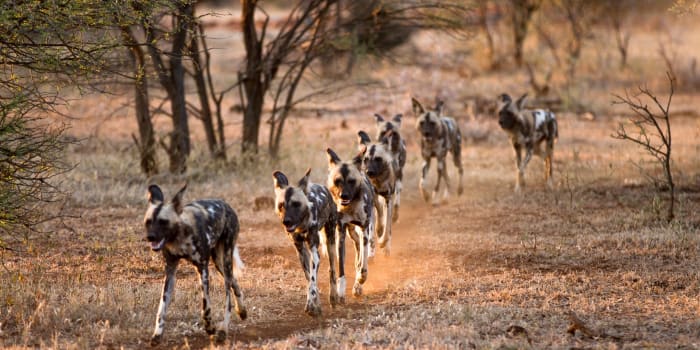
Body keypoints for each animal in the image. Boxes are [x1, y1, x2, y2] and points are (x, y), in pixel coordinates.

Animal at [142, 185, 246, 346]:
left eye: (163, 222)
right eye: (148, 222)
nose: (150, 237)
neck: (179, 237)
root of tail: (226, 204)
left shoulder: (202, 268)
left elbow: (205, 306)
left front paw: (210, 327)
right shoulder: (170, 271)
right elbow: (162, 306)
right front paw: (157, 334)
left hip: (226, 258)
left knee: (228, 294)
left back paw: (223, 331)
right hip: (218, 262)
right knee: (233, 281)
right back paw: (242, 311)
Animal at [270, 168, 342, 316]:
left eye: (296, 204)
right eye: (281, 206)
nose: (286, 221)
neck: (301, 225)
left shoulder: (314, 252)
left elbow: (313, 280)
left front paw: (311, 305)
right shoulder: (301, 252)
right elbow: (309, 279)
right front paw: (315, 304)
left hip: (331, 240)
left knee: (332, 268)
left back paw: (333, 297)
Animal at [324, 148, 374, 296]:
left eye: (351, 181)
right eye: (337, 181)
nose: (343, 195)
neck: (351, 206)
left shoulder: (364, 230)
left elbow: (363, 267)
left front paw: (360, 280)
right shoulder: (340, 233)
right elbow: (341, 267)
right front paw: (341, 289)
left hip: (364, 231)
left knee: (362, 253)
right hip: (351, 231)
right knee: (357, 245)